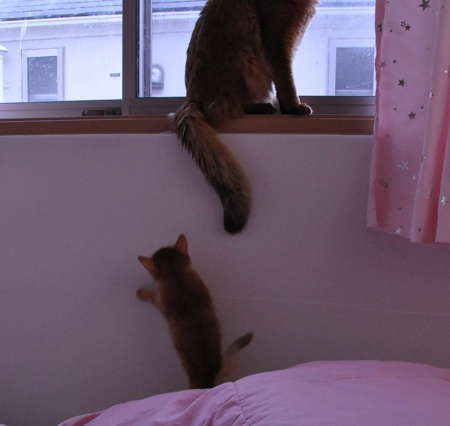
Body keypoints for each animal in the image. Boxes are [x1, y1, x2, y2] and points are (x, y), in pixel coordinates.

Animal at [171, 0, 317, 234]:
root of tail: (192, 98)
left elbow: (284, 80)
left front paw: (288, 108)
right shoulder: (278, 41)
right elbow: (286, 81)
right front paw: (293, 107)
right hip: (244, 51)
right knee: (228, 107)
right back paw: (264, 107)